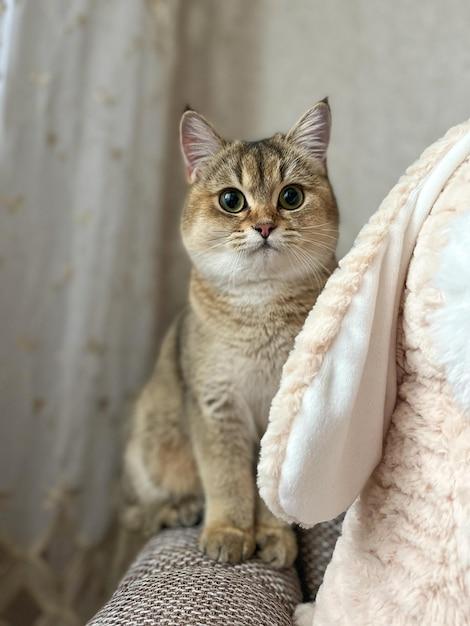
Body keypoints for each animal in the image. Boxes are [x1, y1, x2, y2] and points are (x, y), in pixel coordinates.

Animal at [123, 97, 340, 564]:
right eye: (231, 200)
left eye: (291, 197)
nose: (264, 226)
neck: (260, 307)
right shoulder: (214, 404)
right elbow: (226, 479)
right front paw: (228, 532)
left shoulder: (280, 417)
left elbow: (268, 491)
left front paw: (273, 538)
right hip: (151, 443)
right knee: (134, 512)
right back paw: (179, 508)